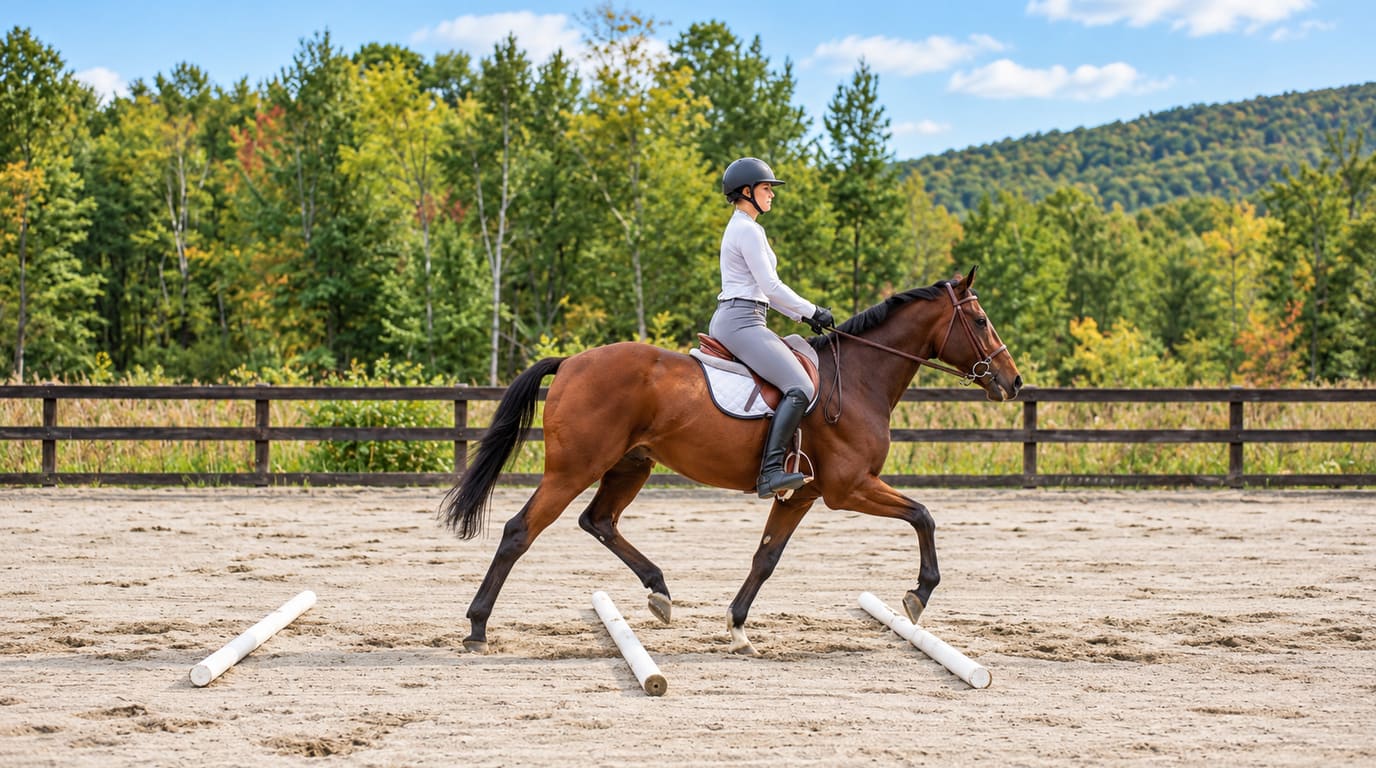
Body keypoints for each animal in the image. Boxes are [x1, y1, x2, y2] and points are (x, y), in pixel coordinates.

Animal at [441, 266, 1022, 655]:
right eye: (980, 319)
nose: (1013, 382)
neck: (858, 380)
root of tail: (571, 362)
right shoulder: (849, 488)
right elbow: (924, 515)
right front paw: (918, 594)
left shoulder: (803, 493)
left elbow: (766, 557)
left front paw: (738, 627)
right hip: (572, 469)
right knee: (521, 531)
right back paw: (477, 627)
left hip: (631, 464)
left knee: (599, 520)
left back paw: (659, 592)